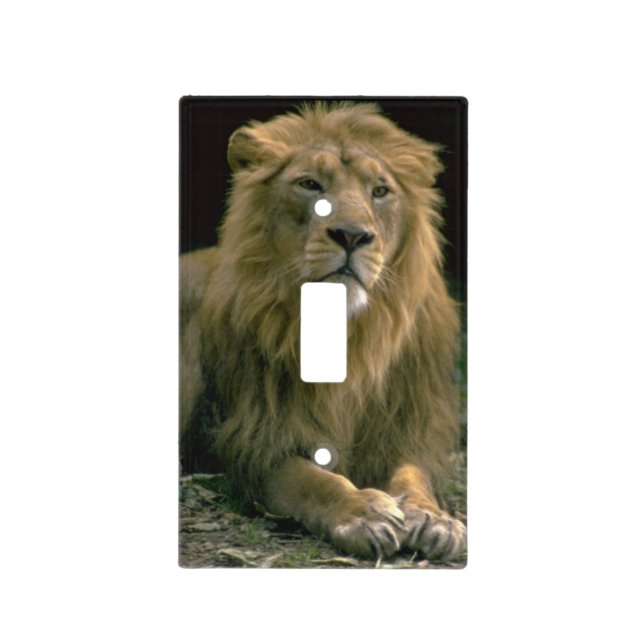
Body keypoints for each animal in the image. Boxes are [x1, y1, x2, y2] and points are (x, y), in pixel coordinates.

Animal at [180, 102, 466, 561]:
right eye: (310, 185)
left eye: (380, 191)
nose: (351, 235)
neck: (347, 334)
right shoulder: (255, 442)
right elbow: (310, 479)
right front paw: (363, 512)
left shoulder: (407, 427)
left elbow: (413, 474)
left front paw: (433, 518)